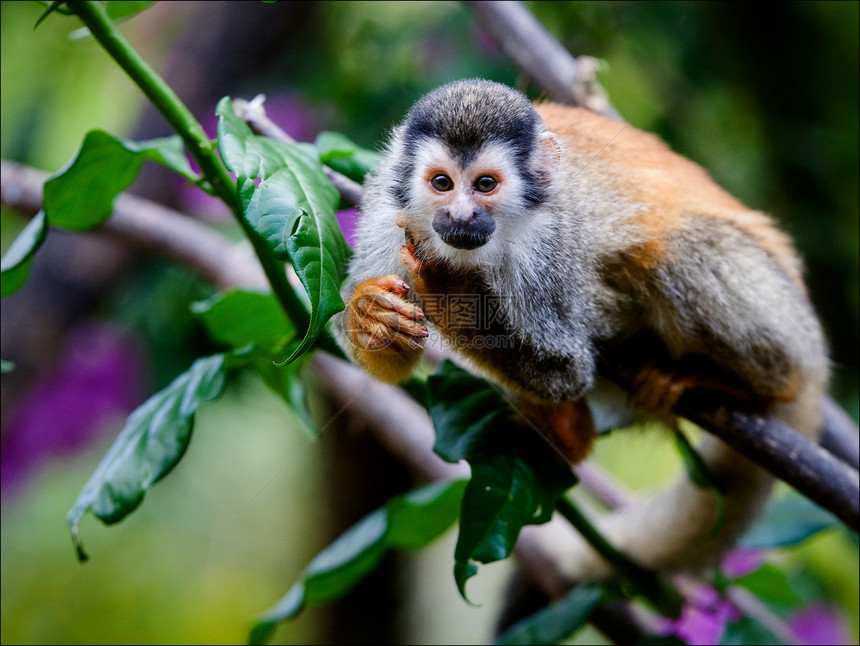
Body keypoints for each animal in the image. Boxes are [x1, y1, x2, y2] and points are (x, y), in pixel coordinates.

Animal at [332, 81, 828, 584]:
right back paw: (568, 432)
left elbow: (567, 370)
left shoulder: (551, 242)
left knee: (675, 253)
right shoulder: (388, 211)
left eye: (485, 185)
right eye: (442, 184)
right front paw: (370, 314)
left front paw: (452, 291)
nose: (461, 217)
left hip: (786, 320)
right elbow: (387, 363)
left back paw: (749, 382)